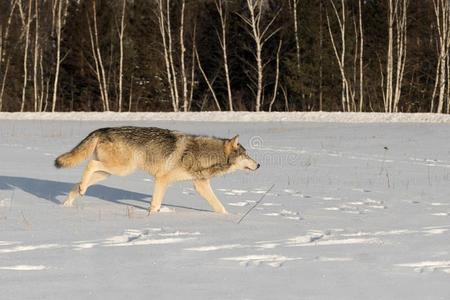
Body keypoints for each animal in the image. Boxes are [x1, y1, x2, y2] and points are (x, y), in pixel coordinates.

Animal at [54, 126, 258, 213]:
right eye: (246, 155)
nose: (259, 165)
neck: (204, 154)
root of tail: (101, 129)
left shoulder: (200, 185)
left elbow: (219, 206)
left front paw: (228, 219)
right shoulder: (162, 179)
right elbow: (156, 204)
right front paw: (151, 218)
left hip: (108, 174)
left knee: (78, 184)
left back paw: (70, 200)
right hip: (121, 169)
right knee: (89, 165)